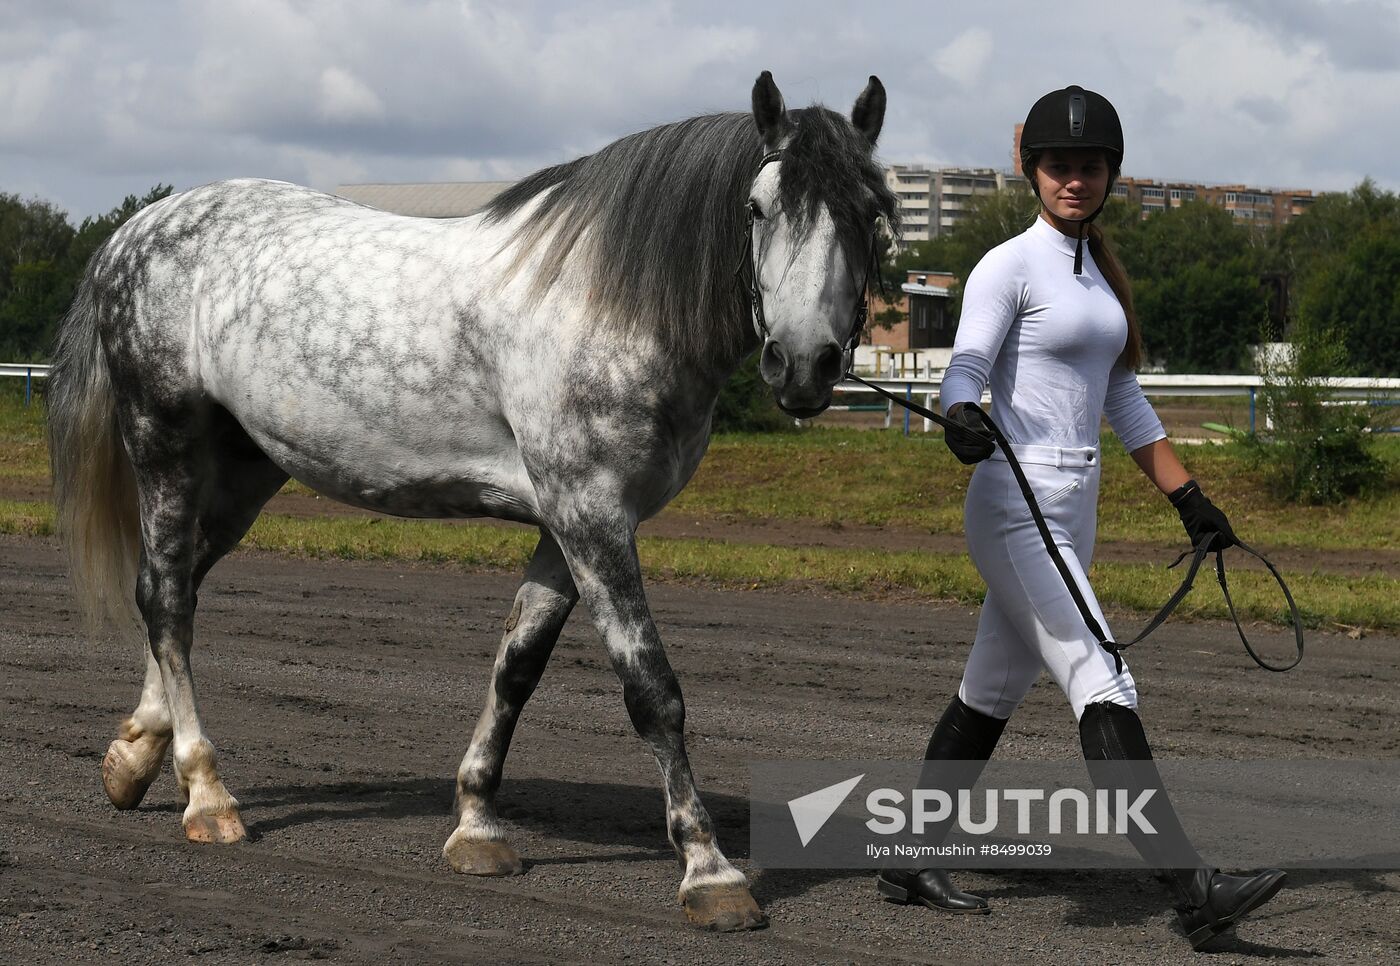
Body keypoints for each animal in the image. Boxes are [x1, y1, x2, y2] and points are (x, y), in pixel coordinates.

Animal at [49, 71, 896, 929]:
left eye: (871, 209)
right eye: (757, 207)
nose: (805, 363)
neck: (608, 301)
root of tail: (134, 230)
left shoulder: (564, 526)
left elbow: (515, 668)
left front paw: (478, 825)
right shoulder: (592, 518)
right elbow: (652, 690)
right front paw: (709, 869)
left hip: (245, 470)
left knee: (173, 587)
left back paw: (135, 758)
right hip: (167, 445)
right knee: (166, 601)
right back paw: (208, 795)